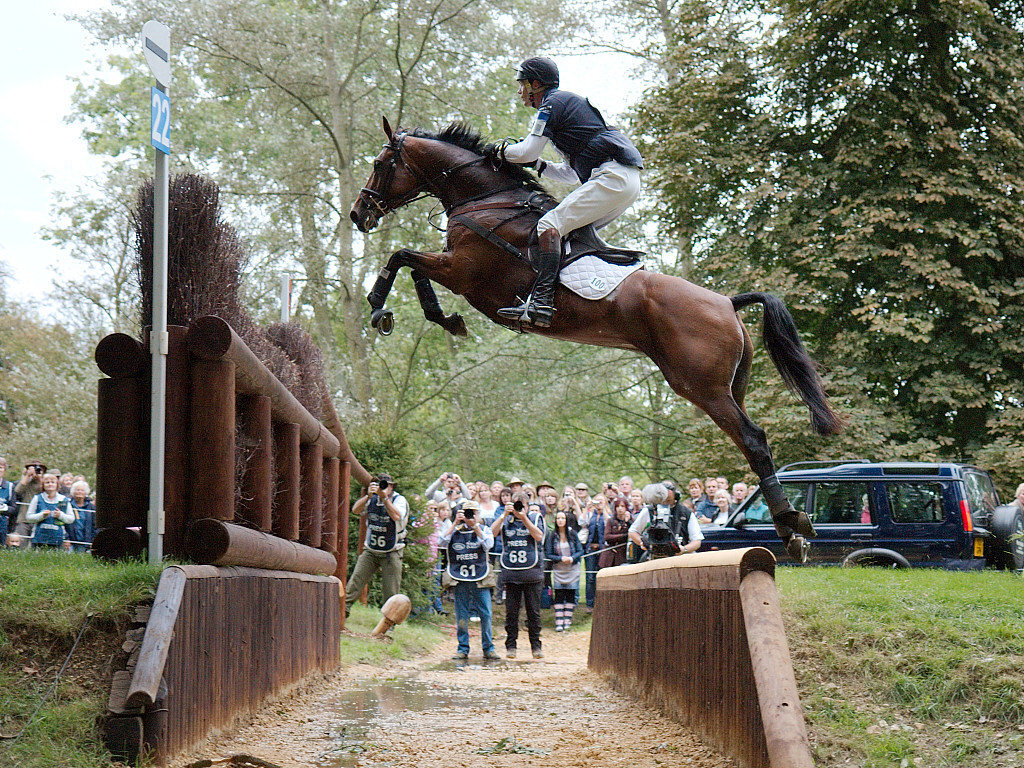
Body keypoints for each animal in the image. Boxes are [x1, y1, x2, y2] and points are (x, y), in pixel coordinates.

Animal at [348, 115, 843, 561]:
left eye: (379, 164)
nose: (358, 213)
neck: (486, 201)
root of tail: (727, 303)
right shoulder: (456, 270)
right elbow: (411, 266)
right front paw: (440, 318)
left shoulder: (463, 271)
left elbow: (403, 258)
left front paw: (383, 308)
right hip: (728, 387)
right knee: (751, 443)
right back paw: (789, 531)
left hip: (700, 386)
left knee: (754, 439)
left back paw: (792, 524)